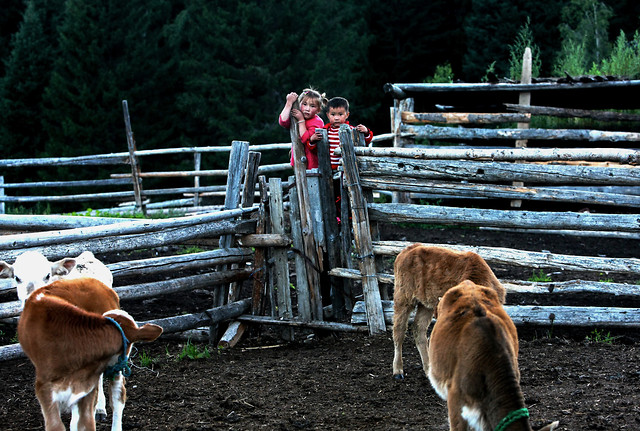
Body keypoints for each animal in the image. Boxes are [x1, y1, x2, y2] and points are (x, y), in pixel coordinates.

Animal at [390, 245, 504, 380]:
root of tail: (407, 250)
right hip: (403, 299)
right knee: (399, 330)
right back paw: (398, 371)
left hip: (425, 305)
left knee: (418, 328)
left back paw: (429, 370)